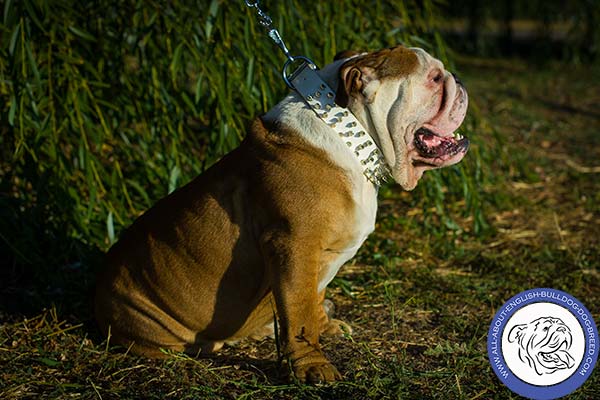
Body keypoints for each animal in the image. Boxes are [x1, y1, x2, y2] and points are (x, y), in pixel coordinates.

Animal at [95, 45, 468, 382]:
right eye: (435, 79)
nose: (459, 77)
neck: (351, 134)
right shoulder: (294, 245)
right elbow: (299, 311)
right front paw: (312, 365)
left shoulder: (316, 258)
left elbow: (311, 298)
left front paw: (324, 326)